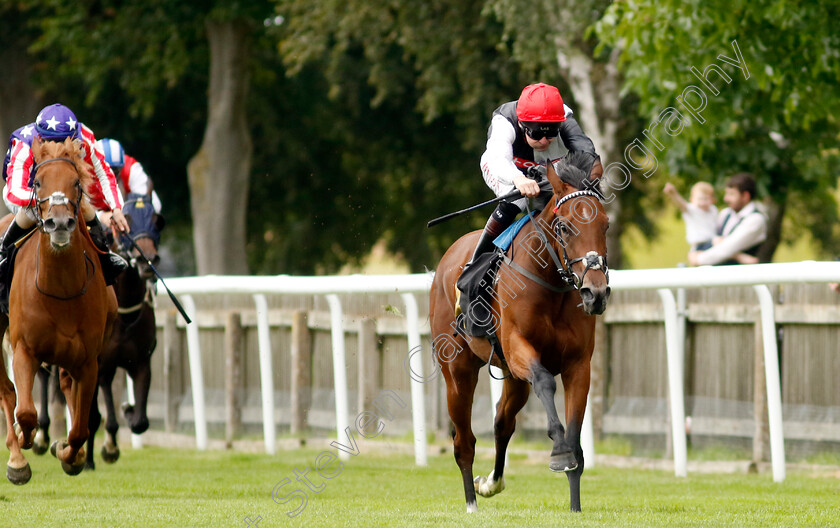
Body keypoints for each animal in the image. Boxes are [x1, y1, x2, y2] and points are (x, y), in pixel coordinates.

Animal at [1, 137, 117, 482]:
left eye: (76, 183)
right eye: (37, 182)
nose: (61, 223)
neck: (60, 290)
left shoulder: (89, 361)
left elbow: (81, 427)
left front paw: (70, 454)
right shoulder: (24, 349)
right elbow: (26, 412)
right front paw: (26, 440)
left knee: (67, 389)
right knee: (7, 392)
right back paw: (17, 458)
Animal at [434, 152, 612, 512]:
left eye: (605, 225)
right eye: (565, 226)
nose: (595, 293)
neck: (552, 284)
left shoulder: (578, 365)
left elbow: (575, 437)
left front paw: (575, 505)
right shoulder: (519, 348)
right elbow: (544, 381)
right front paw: (559, 452)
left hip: (513, 379)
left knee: (502, 423)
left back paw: (491, 483)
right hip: (458, 373)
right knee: (464, 441)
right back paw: (471, 502)